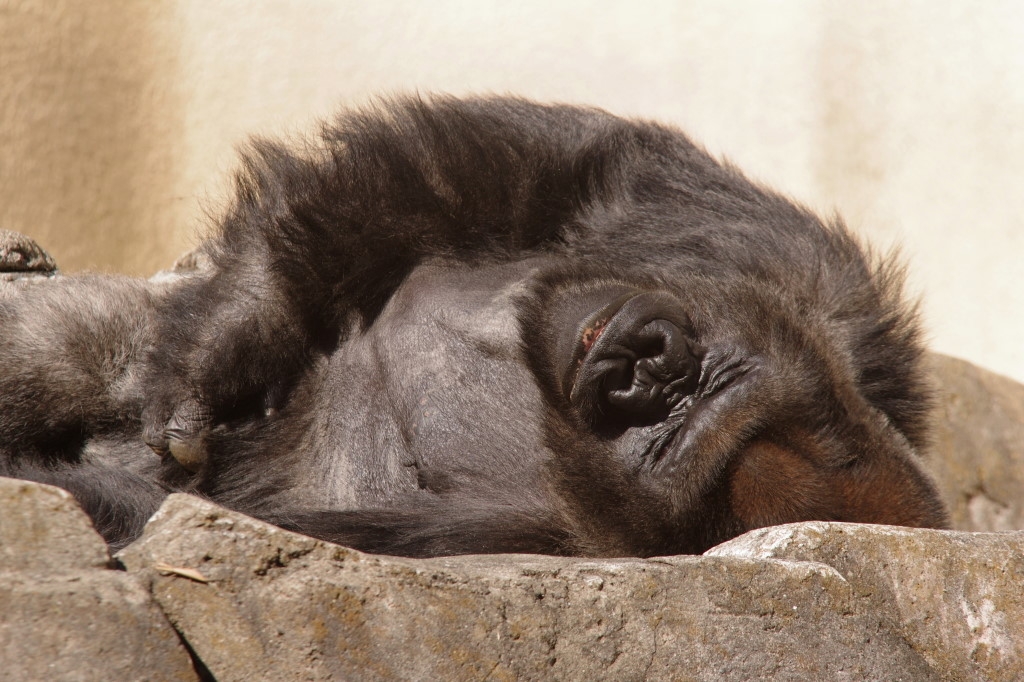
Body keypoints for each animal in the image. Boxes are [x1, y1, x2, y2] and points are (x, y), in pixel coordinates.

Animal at [0, 96, 949, 556]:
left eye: (674, 443)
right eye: (708, 384)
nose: (652, 372)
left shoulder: (533, 537)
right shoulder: (783, 252)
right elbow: (486, 172)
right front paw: (228, 341)